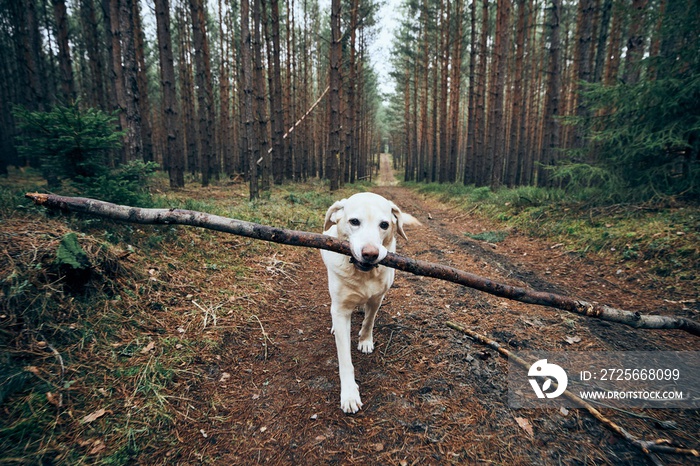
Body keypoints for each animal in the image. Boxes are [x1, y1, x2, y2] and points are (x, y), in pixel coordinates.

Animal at [320, 192, 418, 412]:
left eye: (384, 225)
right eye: (354, 222)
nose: (371, 254)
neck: (362, 274)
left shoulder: (377, 298)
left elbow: (369, 321)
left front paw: (365, 341)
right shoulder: (341, 309)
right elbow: (345, 360)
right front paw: (349, 393)